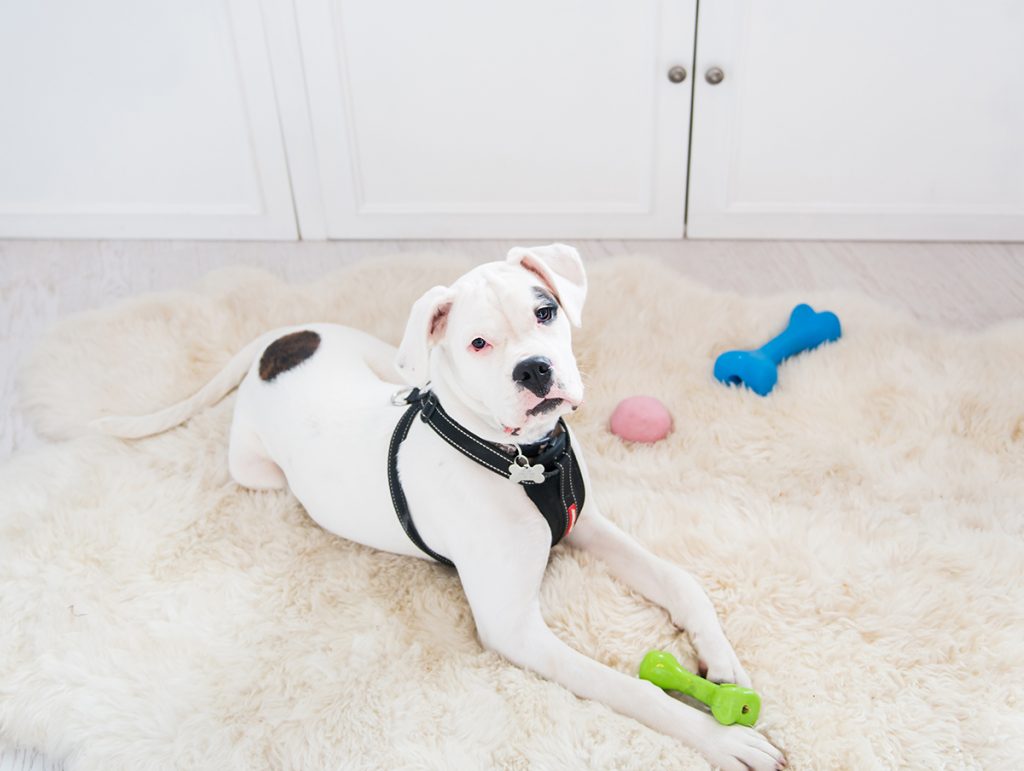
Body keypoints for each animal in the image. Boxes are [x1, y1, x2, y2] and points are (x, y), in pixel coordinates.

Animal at [96, 246, 782, 769]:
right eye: (478, 343)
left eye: (545, 311)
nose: (535, 369)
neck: (522, 458)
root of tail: (277, 340)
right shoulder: (515, 630)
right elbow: (632, 690)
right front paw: (722, 738)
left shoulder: (583, 524)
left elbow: (679, 580)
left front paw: (722, 661)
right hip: (256, 471)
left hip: (390, 360)